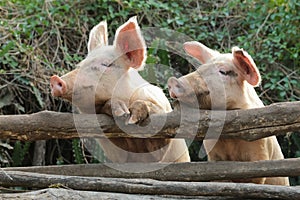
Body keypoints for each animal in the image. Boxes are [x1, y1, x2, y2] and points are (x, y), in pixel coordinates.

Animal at [49, 16, 190, 163]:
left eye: (106, 64)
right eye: (80, 65)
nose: (55, 79)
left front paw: (131, 118)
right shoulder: (113, 149)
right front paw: (121, 113)